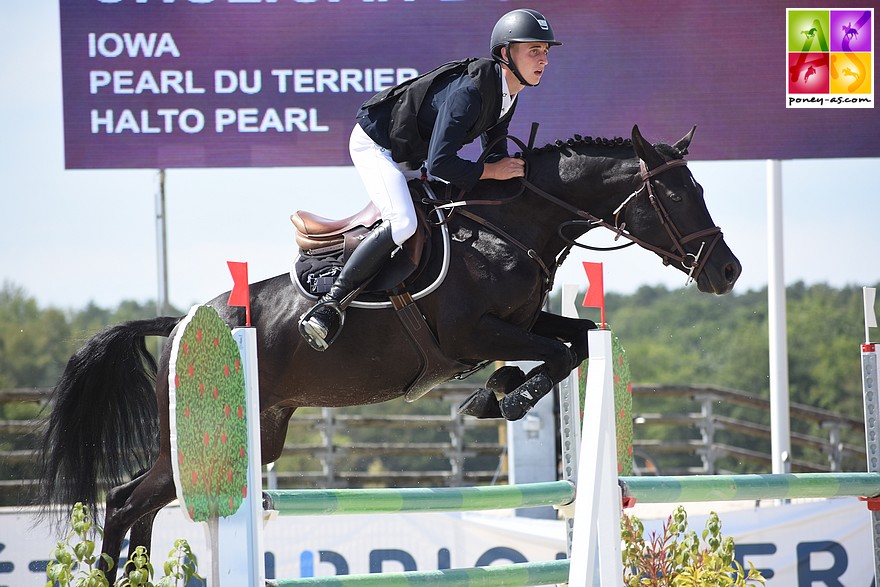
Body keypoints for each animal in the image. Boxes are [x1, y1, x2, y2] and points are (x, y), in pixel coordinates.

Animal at [36, 125, 736, 584]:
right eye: (678, 196)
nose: (726, 272)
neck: (508, 228)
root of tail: (183, 321)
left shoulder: (519, 322)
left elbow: (578, 339)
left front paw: (499, 392)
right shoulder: (473, 335)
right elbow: (558, 354)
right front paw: (502, 396)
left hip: (261, 436)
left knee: (142, 503)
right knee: (125, 502)